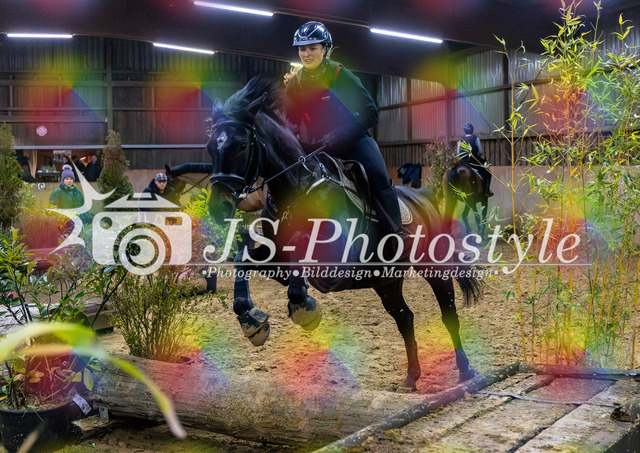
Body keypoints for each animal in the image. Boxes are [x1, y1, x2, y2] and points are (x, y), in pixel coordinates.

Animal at [205, 76, 481, 391]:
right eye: (210, 146)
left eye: (241, 145)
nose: (218, 207)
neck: (297, 188)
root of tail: (424, 198)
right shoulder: (275, 254)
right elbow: (243, 258)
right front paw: (251, 321)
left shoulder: (335, 258)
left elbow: (299, 264)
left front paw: (304, 309)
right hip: (386, 281)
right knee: (405, 318)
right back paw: (411, 377)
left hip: (434, 268)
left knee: (448, 313)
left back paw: (466, 370)